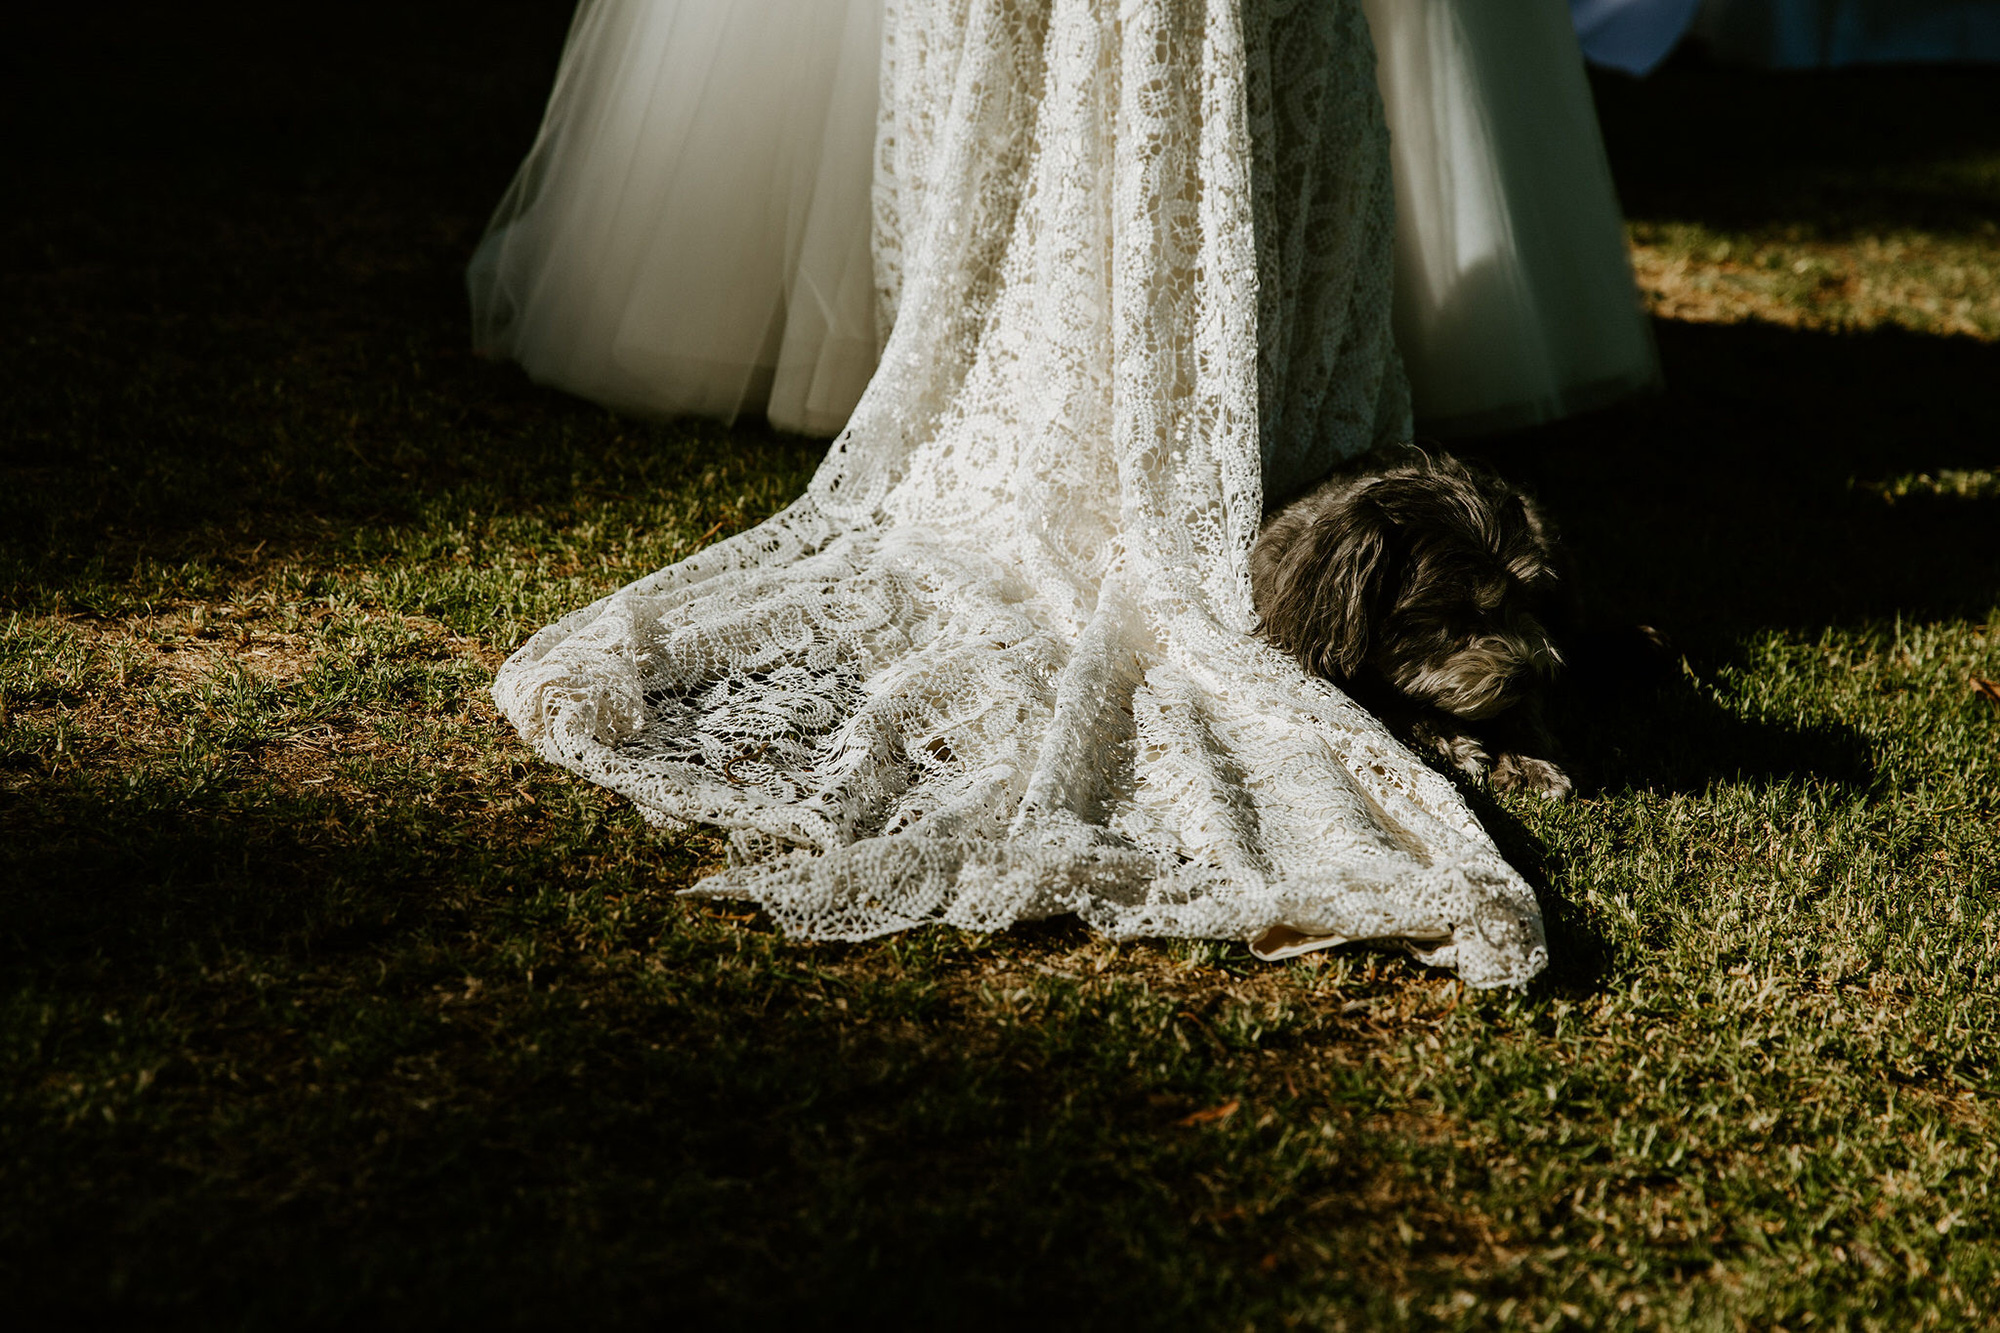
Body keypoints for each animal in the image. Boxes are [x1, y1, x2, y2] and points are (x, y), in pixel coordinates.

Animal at [1256, 446, 1568, 800]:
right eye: (1457, 613)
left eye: (1524, 596)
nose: (1527, 674)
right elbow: (1387, 706)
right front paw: (1452, 741)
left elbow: (1523, 710)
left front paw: (1531, 762)